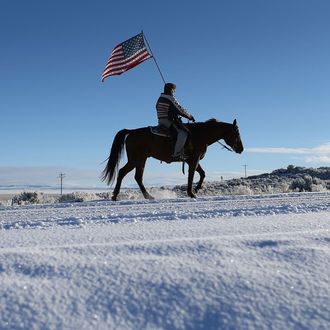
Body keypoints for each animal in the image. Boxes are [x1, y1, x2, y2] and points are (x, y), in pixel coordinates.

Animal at [102, 119, 244, 201]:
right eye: (237, 133)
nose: (241, 149)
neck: (201, 134)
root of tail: (131, 132)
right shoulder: (194, 160)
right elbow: (191, 175)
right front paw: (191, 193)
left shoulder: (192, 160)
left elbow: (202, 174)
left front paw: (196, 189)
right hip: (137, 159)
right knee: (125, 173)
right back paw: (120, 196)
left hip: (140, 160)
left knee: (134, 176)